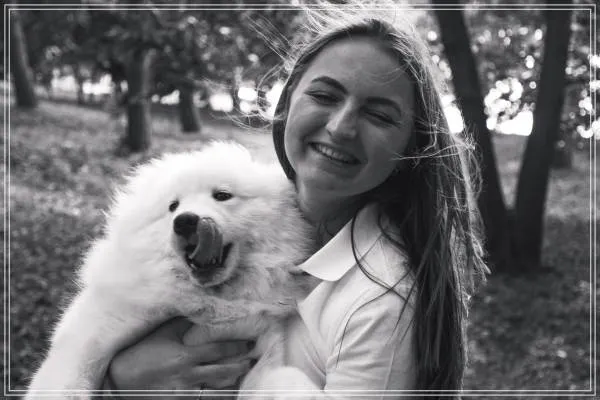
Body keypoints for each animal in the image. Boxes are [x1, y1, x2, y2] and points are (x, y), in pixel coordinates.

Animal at [26, 141, 318, 399]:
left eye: (222, 195)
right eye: (172, 206)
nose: (185, 221)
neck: (211, 302)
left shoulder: (258, 355)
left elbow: (287, 379)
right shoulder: (91, 335)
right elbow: (68, 382)